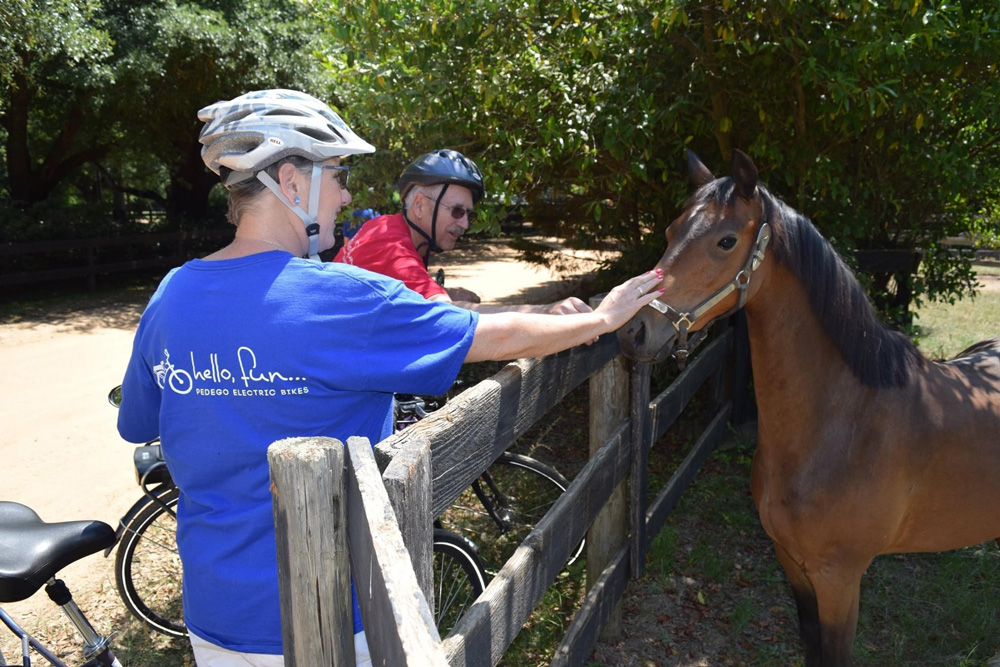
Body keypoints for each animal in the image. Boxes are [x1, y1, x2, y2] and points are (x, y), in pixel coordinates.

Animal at [616, 150, 1000, 667]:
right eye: (671, 231)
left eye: (725, 241)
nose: (633, 331)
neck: (845, 425)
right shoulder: (791, 563)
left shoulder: (839, 578)